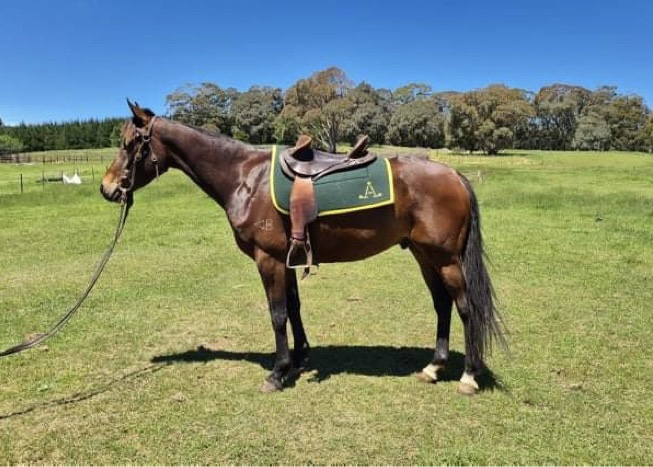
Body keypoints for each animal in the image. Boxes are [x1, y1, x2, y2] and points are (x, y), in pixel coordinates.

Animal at [101, 101, 506, 395]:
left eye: (129, 144)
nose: (108, 188)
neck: (246, 177)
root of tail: (454, 175)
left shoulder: (268, 260)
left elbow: (277, 313)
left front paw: (277, 373)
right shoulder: (287, 260)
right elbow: (293, 308)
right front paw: (298, 358)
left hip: (445, 259)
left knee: (465, 307)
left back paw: (468, 377)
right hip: (425, 256)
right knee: (442, 304)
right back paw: (433, 368)